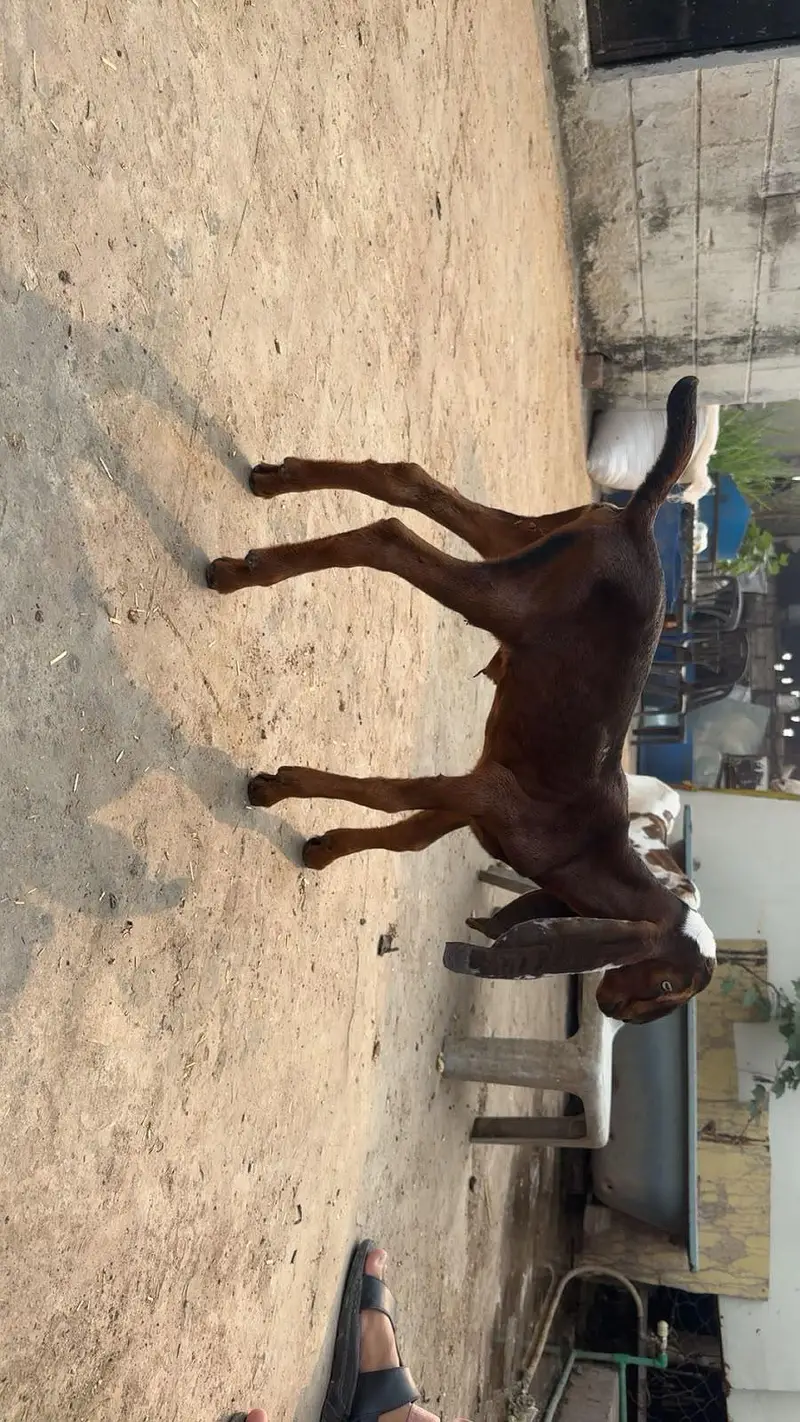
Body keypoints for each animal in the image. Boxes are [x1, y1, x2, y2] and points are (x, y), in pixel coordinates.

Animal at [206, 375, 716, 1023]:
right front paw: (279, 787)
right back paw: (242, 572)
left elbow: (408, 835)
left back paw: (276, 482)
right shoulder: (489, 793)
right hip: (504, 600)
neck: (588, 852)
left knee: (410, 481)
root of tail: (637, 526)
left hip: (525, 543)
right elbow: (390, 796)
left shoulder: (472, 802)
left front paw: (326, 851)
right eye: (669, 985)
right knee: (388, 538)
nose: (613, 1011)